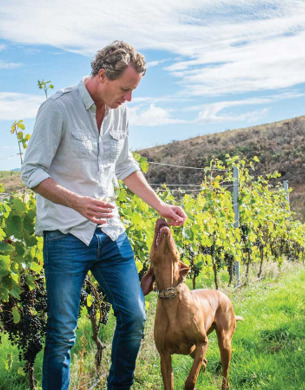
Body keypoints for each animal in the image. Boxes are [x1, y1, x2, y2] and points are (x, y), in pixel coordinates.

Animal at [141, 219, 242, 390]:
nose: (162, 219)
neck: (171, 294)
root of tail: (223, 295)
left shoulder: (202, 342)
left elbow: (190, 379)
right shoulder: (164, 355)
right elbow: (169, 383)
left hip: (223, 342)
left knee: (224, 371)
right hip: (191, 349)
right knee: (205, 361)